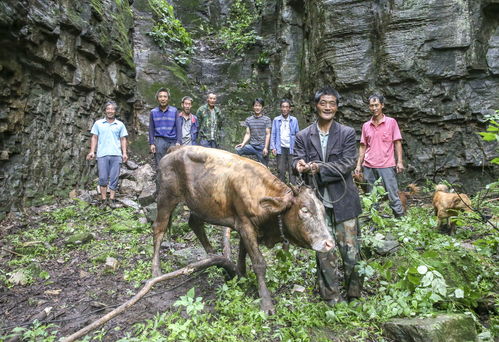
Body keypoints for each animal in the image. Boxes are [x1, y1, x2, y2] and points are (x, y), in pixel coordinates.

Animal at [150, 146, 334, 314]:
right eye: (305, 210)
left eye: (323, 210)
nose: (329, 243)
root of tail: (175, 149)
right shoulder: (245, 224)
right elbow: (259, 263)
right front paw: (266, 303)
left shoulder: (245, 227)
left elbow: (242, 251)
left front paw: (241, 276)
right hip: (166, 198)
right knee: (159, 229)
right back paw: (156, 270)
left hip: (200, 204)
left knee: (194, 223)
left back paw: (212, 255)